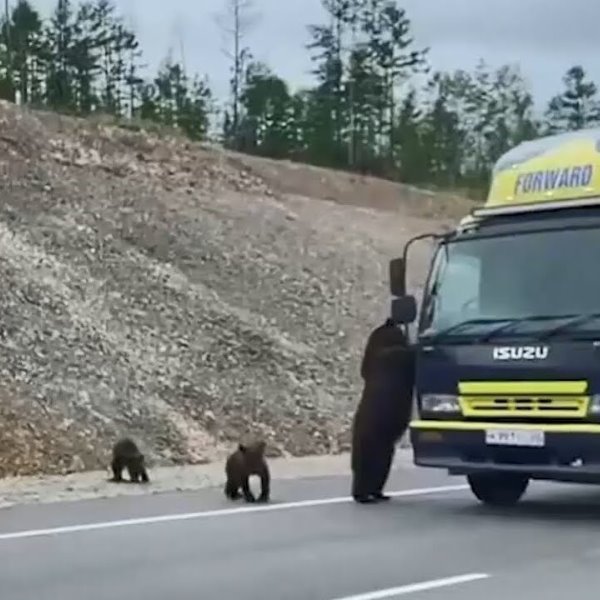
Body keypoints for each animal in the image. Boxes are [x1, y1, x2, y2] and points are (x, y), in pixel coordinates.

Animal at [350, 316, 414, 504]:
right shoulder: (390, 360)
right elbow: (404, 356)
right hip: (371, 441)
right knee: (367, 469)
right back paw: (363, 496)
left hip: (385, 451)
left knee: (381, 472)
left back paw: (380, 494)